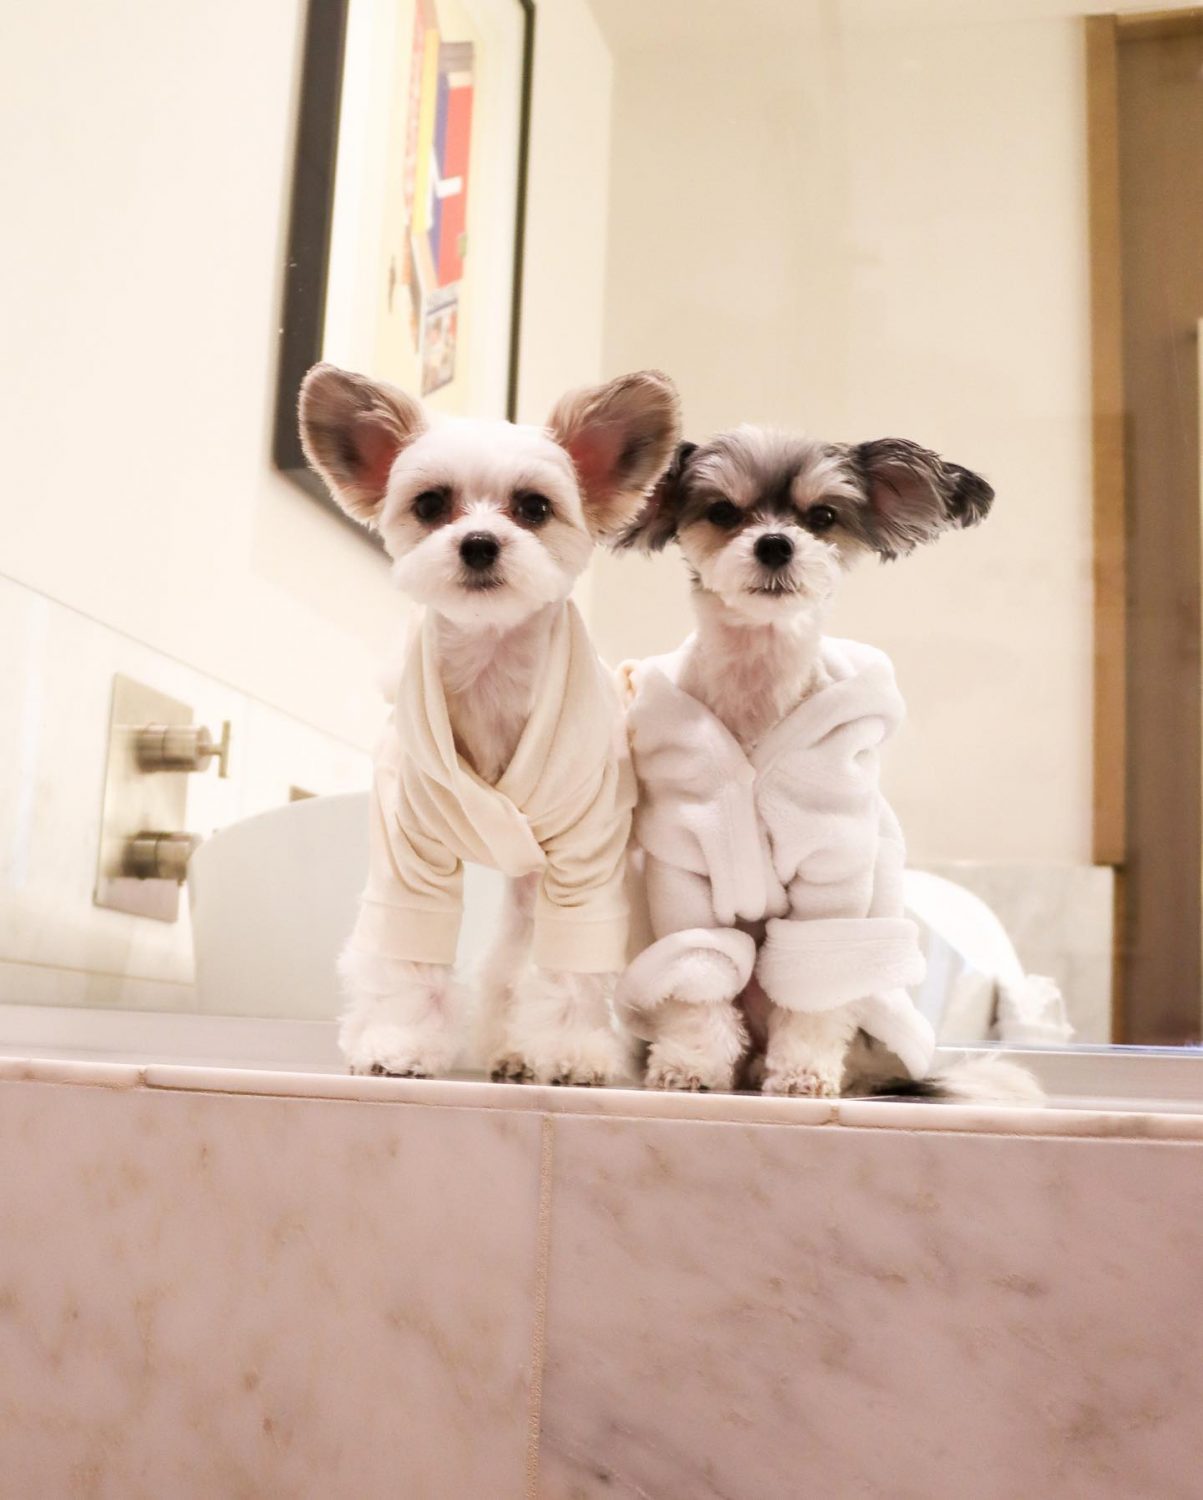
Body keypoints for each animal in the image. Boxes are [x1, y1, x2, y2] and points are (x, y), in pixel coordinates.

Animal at [299, 363, 681, 1083]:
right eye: (429, 505)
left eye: (533, 508)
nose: (478, 543)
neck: (490, 669)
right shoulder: (409, 855)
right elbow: (409, 953)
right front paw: (401, 1039)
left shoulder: (587, 861)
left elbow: (570, 966)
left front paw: (571, 1049)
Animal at [615, 426, 1041, 1104]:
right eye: (723, 513)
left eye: (822, 518)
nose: (775, 543)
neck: (758, 689)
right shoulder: (684, 870)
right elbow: (699, 971)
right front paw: (690, 1065)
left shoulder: (831, 875)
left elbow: (815, 986)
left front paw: (802, 1074)